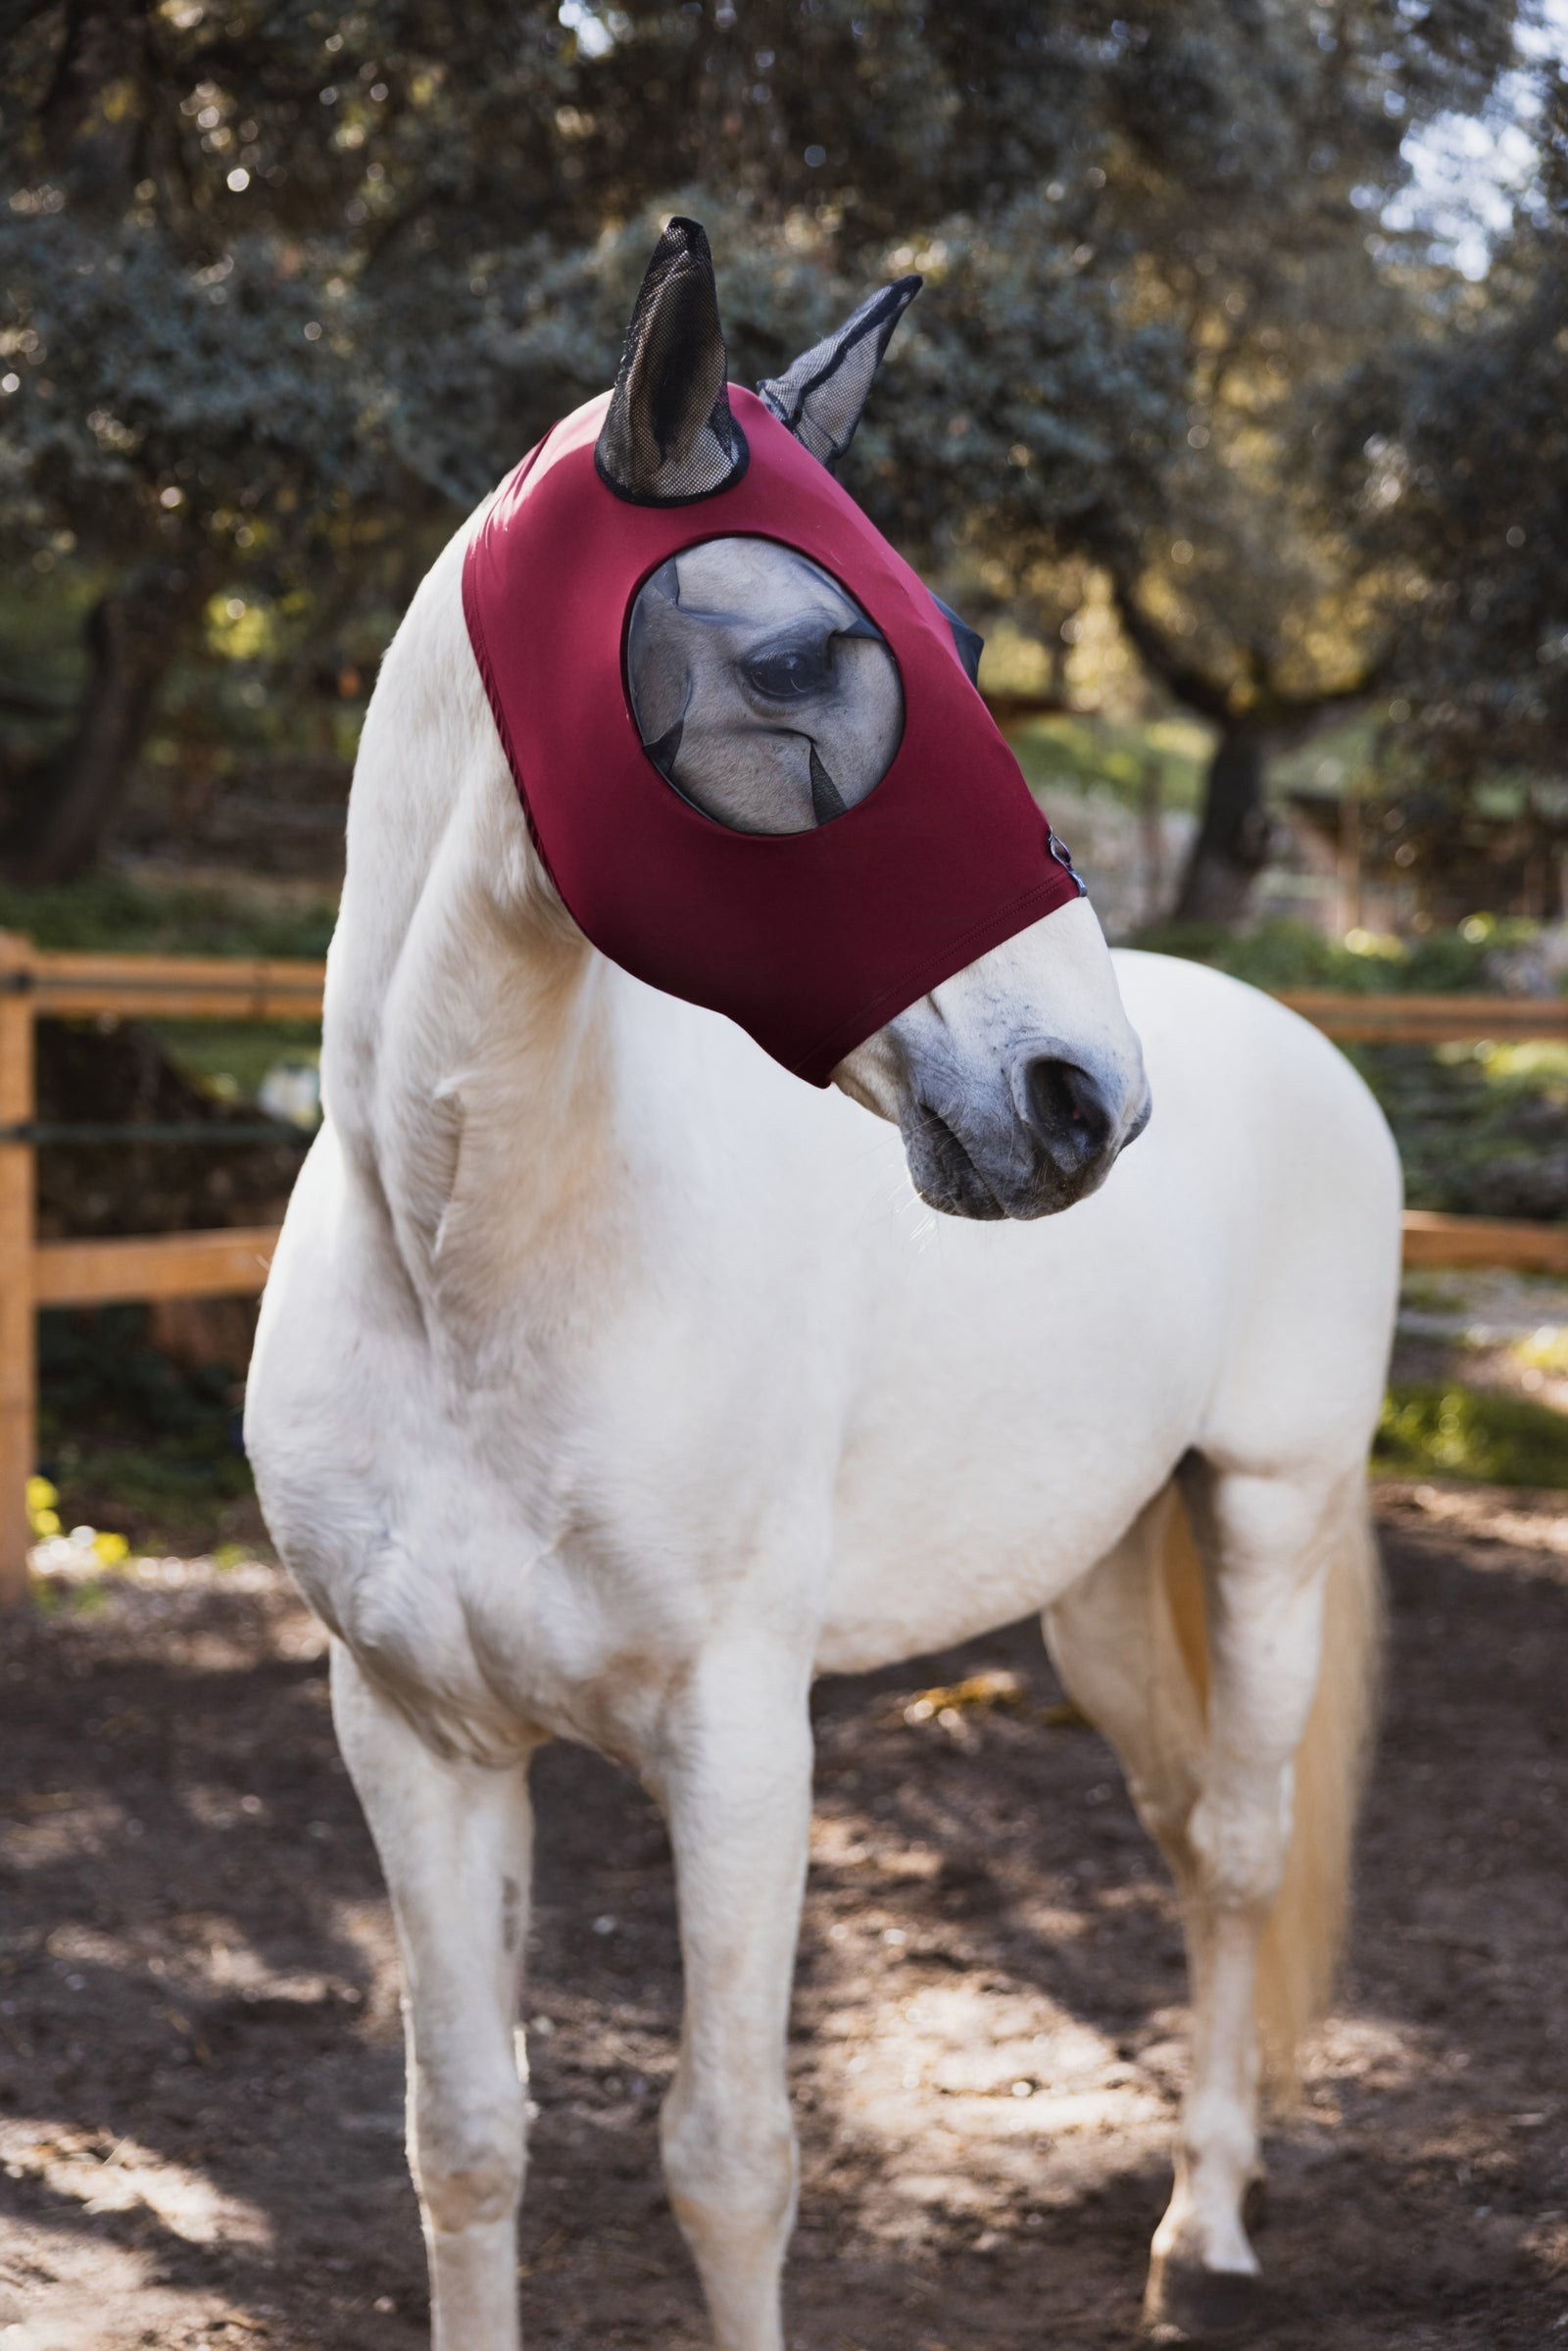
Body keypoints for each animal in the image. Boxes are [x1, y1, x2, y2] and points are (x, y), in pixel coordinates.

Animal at [245, 221, 1402, 2350]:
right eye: (795, 658)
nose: (1078, 1095)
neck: (474, 1276)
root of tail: (1294, 1044)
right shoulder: (417, 1737)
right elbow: (465, 2134)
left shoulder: (737, 1744)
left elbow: (729, 2158)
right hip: (1101, 1579)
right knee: (1179, 1825)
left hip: (1270, 1514)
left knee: (1236, 1847)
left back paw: (1201, 2218)